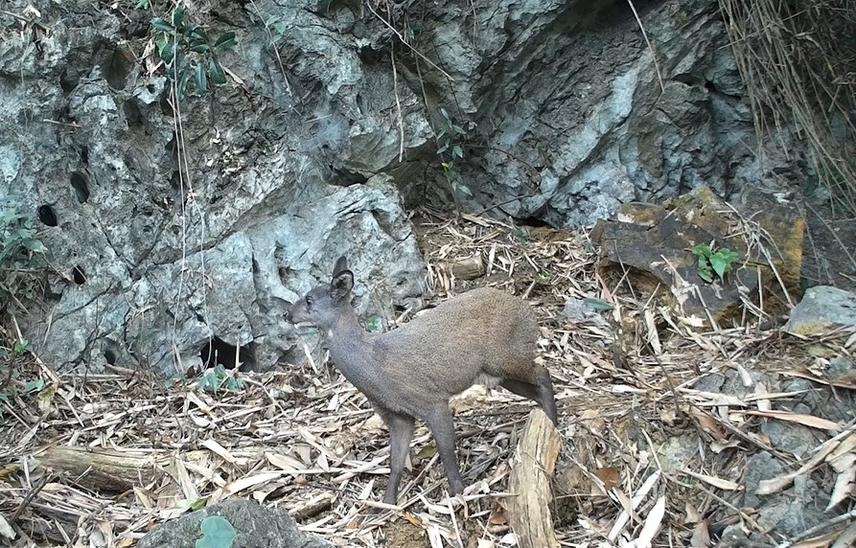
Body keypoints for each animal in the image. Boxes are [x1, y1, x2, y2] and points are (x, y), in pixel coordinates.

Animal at [285, 256, 558, 505]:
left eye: (309, 300)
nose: (287, 314)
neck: (374, 367)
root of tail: (527, 309)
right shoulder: (397, 416)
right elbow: (395, 462)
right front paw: (387, 504)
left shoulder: (431, 400)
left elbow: (446, 450)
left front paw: (459, 494)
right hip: (498, 373)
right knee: (536, 386)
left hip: (507, 358)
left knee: (543, 373)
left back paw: (554, 429)